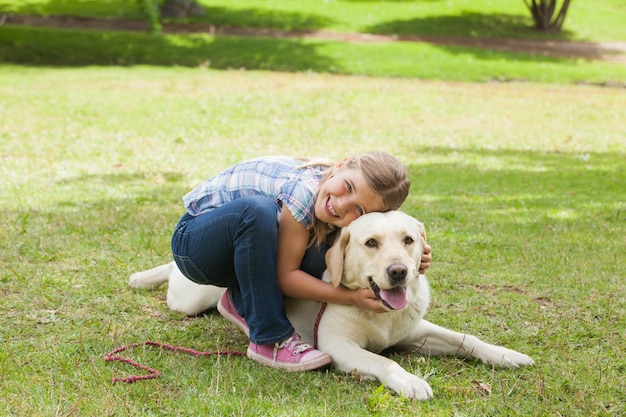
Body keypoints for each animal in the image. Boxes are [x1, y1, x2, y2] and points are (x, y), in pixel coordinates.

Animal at [130, 210, 532, 398]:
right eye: (371, 243)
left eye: (408, 240)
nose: (399, 271)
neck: (379, 314)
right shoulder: (338, 345)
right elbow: (383, 361)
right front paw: (409, 382)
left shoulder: (414, 331)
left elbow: (468, 339)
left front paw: (506, 354)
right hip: (192, 293)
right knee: (174, 270)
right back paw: (143, 277)